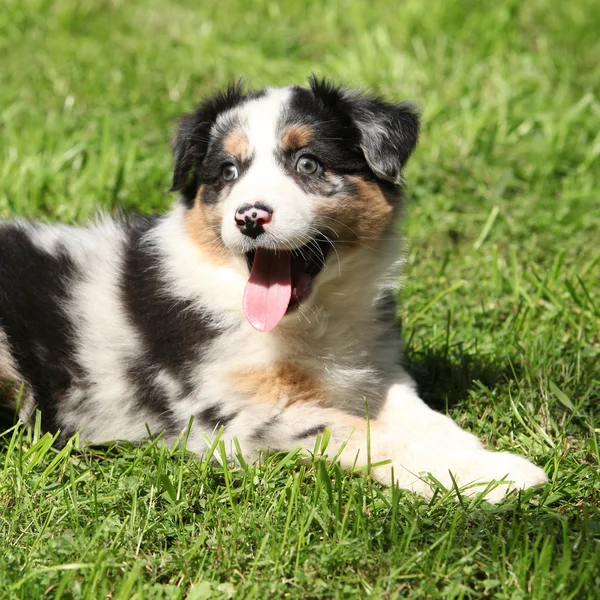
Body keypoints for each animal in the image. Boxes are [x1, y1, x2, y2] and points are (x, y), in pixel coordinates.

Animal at [0, 79, 548, 502]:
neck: (310, 319)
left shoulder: (375, 369)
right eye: (228, 172)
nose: (249, 216)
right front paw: (492, 477)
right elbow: (371, 435)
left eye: (307, 164)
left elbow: (422, 416)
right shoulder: (236, 414)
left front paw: (472, 453)